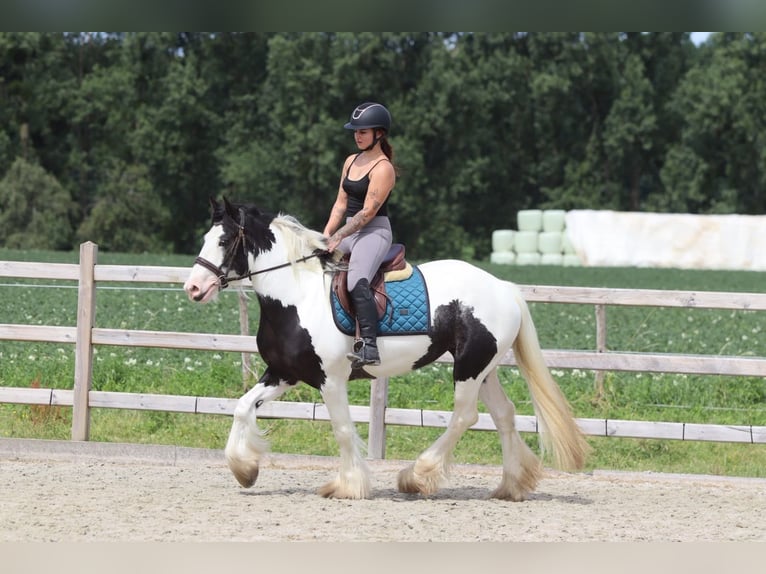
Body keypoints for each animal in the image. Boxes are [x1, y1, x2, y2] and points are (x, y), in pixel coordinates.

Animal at [183, 198, 590, 500]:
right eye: (204, 237)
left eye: (223, 241)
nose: (193, 288)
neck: (296, 297)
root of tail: (503, 287)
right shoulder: (283, 374)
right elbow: (242, 407)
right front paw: (244, 469)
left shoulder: (330, 380)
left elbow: (342, 428)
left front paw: (348, 485)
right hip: (483, 368)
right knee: (503, 414)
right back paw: (511, 486)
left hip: (470, 367)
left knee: (464, 416)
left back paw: (417, 475)